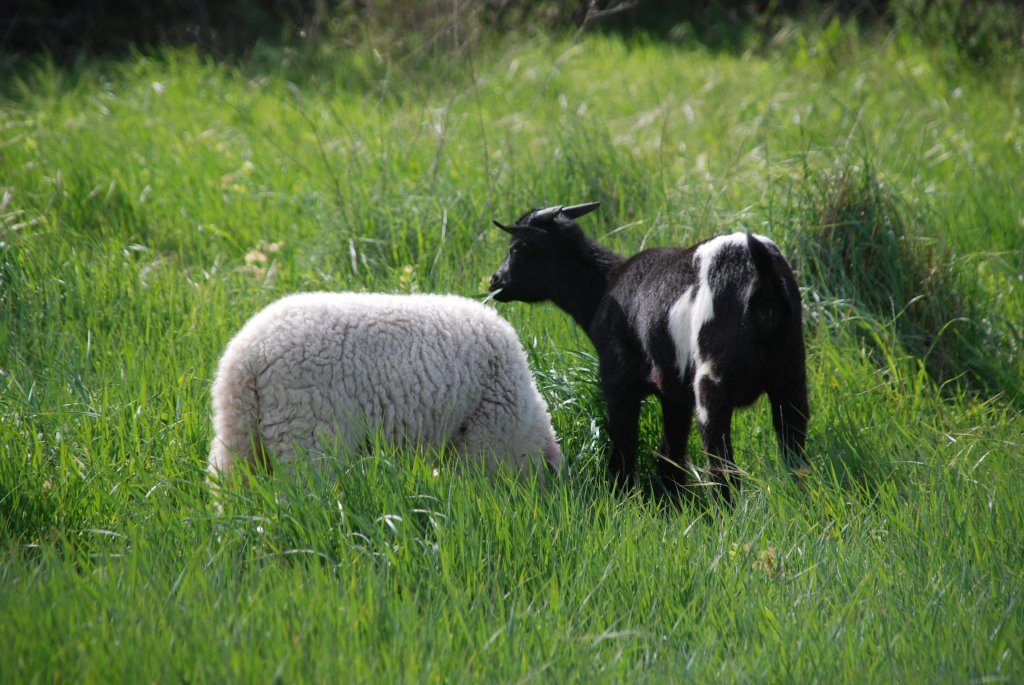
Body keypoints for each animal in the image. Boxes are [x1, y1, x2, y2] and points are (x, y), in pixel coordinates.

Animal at [487, 200, 806, 499]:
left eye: (516, 248)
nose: (494, 281)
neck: (602, 288)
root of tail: (762, 279)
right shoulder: (674, 392)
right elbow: (670, 455)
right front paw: (675, 502)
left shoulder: (618, 384)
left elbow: (623, 450)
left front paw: (622, 497)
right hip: (792, 373)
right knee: (795, 452)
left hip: (712, 381)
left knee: (722, 468)